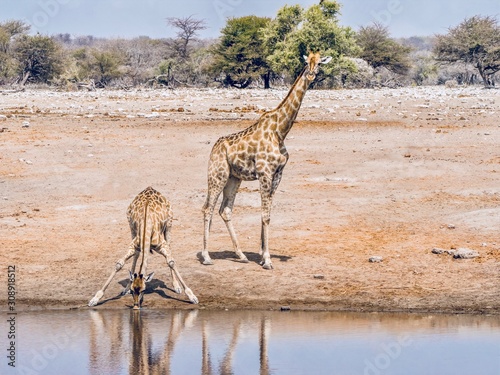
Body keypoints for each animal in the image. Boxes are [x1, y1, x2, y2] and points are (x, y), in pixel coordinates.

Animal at [201, 53, 330, 270]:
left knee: (225, 210)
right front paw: (268, 260)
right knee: (207, 209)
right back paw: (206, 256)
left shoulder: (277, 174)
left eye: (319, 62)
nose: (311, 74)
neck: (281, 130)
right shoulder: (264, 172)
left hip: (234, 178)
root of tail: (214, 149)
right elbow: (265, 215)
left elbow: (267, 214)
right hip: (217, 175)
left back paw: (241, 255)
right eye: (307, 62)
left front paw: (262, 255)